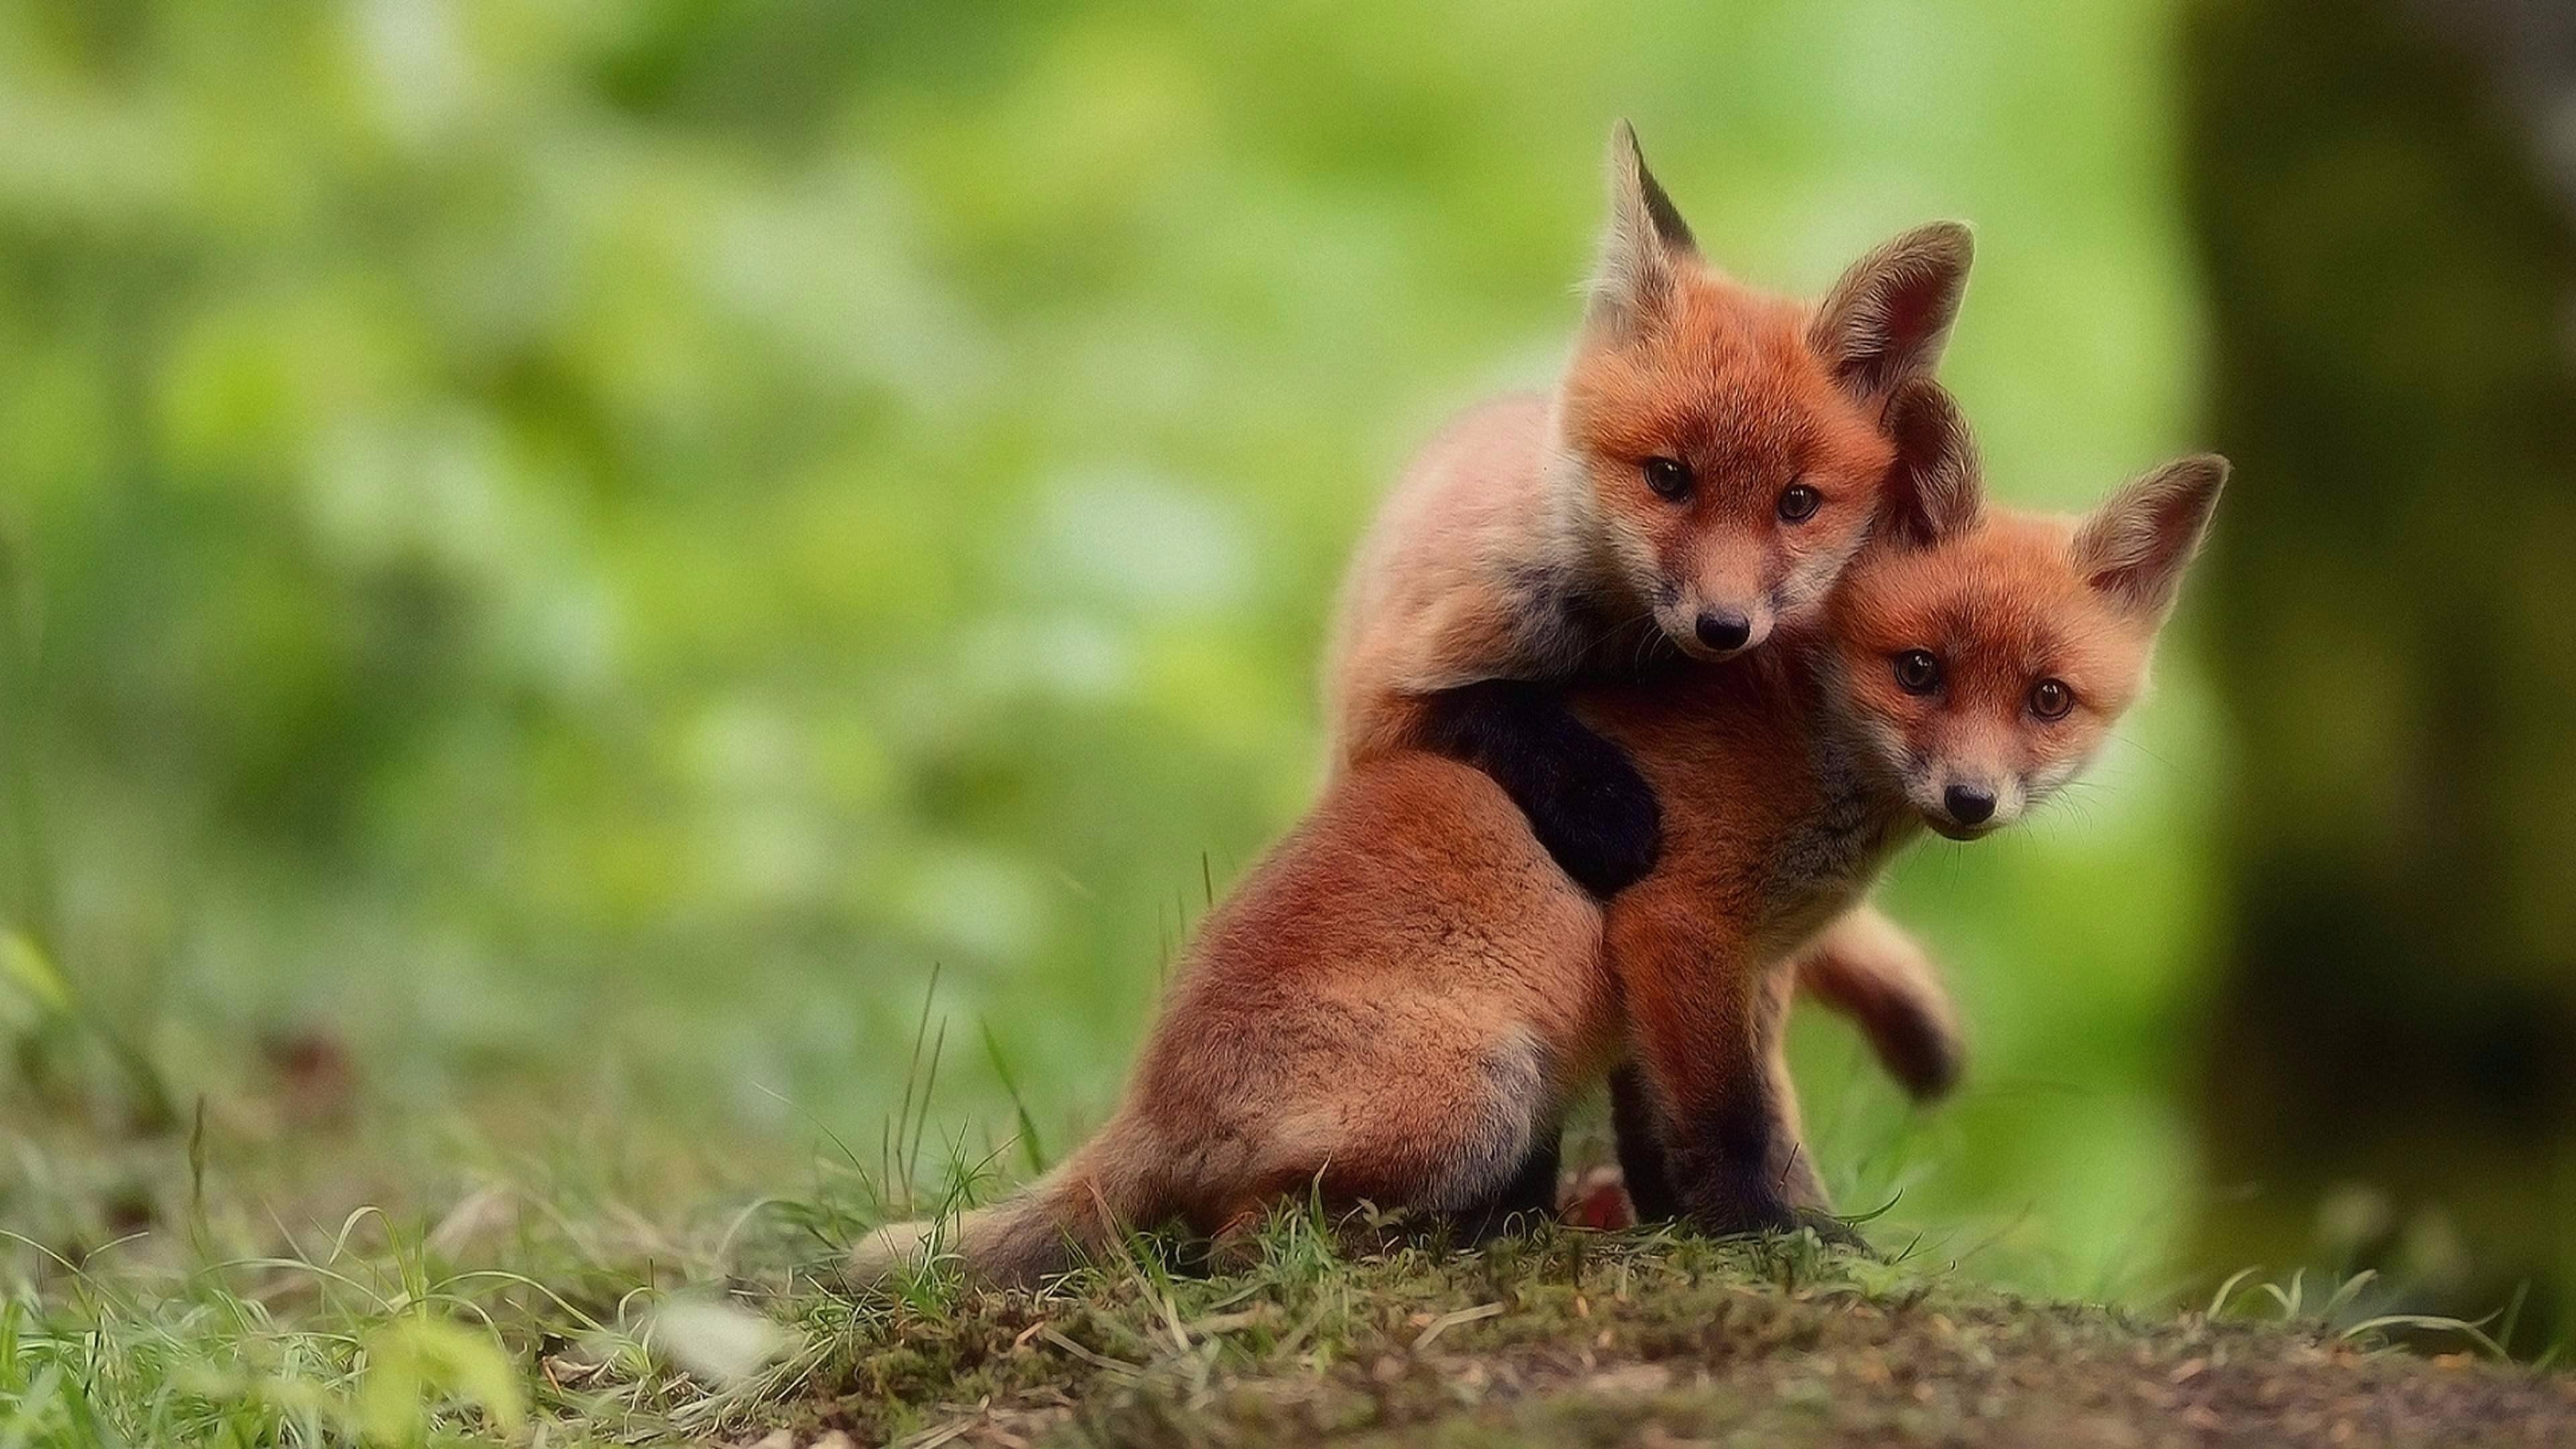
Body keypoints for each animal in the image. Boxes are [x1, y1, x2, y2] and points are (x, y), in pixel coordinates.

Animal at [853, 386, 2229, 1286]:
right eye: (1921, 672)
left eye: (2047, 700)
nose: (1972, 802)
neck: (1806, 739)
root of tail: (1150, 1096)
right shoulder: (1679, 926)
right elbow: (1733, 1128)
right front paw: (1784, 1243)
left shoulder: (1740, 973)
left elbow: (1701, 1126)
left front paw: (1708, 1227)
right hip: (1487, 1092)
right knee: (1237, 1243)